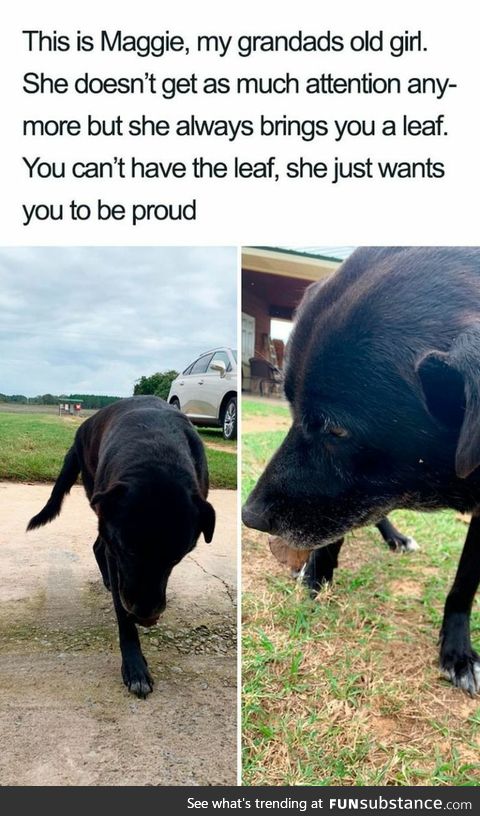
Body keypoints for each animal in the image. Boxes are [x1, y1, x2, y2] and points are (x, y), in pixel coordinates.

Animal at [26, 396, 214, 696]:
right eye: (129, 551)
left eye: (177, 558)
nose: (146, 616)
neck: (156, 454)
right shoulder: (117, 552)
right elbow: (122, 613)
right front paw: (135, 665)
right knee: (99, 547)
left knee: (97, 546)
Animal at [246, 245, 480, 692]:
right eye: (290, 407)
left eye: (337, 429)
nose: (250, 517)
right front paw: (316, 578)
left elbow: (464, 583)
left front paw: (458, 652)